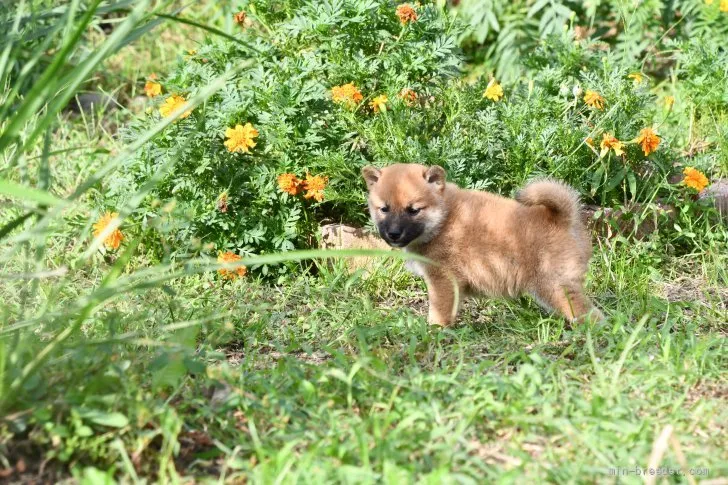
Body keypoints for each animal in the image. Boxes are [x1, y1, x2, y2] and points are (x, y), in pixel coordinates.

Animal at [360, 163, 604, 326]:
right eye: (384, 209)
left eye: (413, 210)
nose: (393, 234)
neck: (443, 219)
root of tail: (564, 219)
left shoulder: (442, 280)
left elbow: (439, 311)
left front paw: (435, 331)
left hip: (554, 285)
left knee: (588, 313)